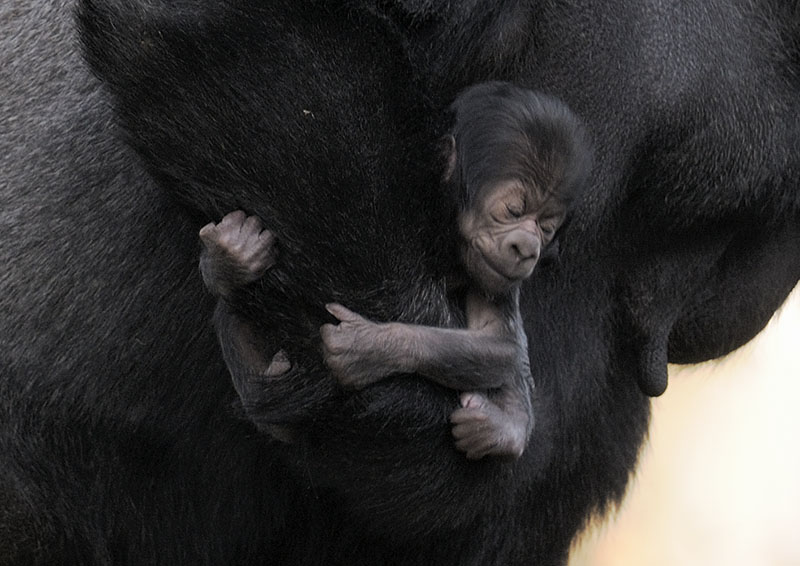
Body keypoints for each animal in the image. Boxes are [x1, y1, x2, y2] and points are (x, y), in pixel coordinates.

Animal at [198, 82, 592, 459]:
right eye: (513, 210)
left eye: (546, 226)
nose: (527, 247)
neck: (443, 230)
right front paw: (229, 258)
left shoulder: (493, 275)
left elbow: (501, 343)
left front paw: (370, 347)